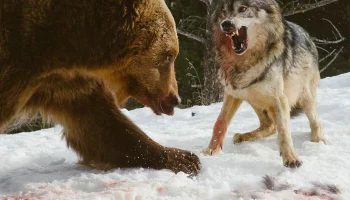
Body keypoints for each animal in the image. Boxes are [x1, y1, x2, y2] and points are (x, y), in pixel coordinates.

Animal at [0, 0, 200, 175]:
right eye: (168, 56)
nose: (174, 98)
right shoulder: (17, 56)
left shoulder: (62, 80)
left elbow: (98, 122)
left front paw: (183, 158)